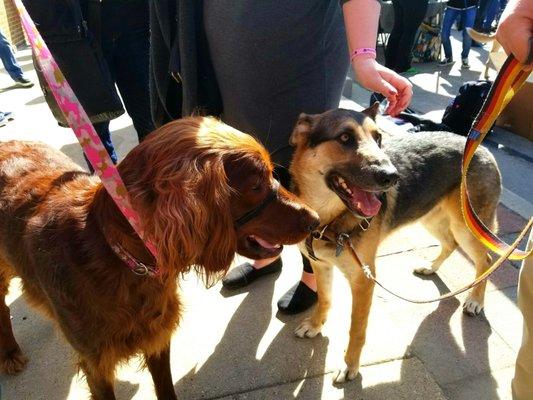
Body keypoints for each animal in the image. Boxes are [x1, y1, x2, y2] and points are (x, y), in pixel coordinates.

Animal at [288, 106, 500, 384]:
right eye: (345, 137)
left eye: (378, 138)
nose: (392, 176)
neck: (329, 219)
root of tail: (482, 148)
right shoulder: (320, 265)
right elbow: (324, 299)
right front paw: (315, 325)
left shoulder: (364, 281)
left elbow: (357, 329)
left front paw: (349, 365)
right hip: (432, 218)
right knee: (450, 243)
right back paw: (431, 267)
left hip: (465, 228)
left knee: (485, 259)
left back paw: (475, 300)